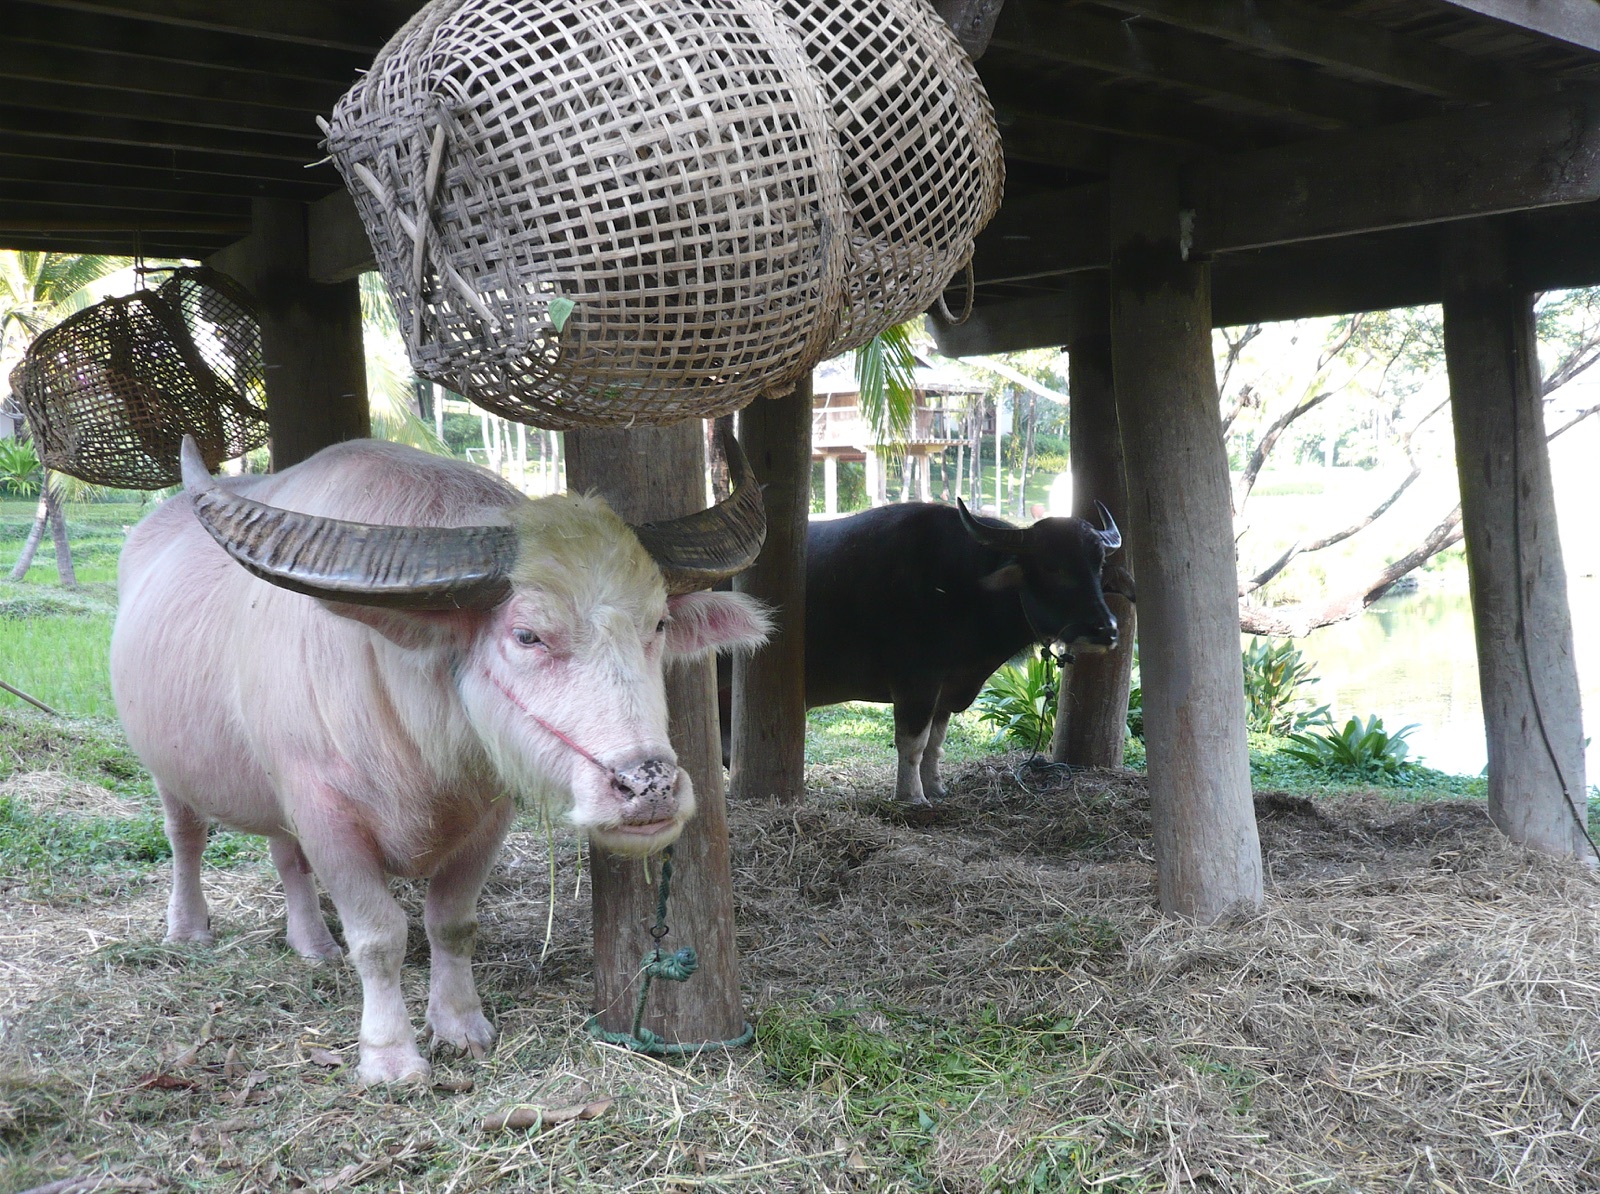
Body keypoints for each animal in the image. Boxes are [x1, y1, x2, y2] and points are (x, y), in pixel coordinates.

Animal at [111, 432, 769, 1083]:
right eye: (527, 635)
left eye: (657, 623)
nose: (648, 785)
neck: (412, 720)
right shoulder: (325, 811)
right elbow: (379, 936)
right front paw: (390, 1056)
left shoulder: (485, 815)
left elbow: (451, 923)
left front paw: (460, 1024)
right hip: (169, 772)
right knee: (186, 838)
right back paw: (188, 929)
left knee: (285, 854)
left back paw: (313, 943)